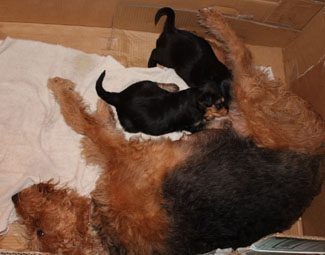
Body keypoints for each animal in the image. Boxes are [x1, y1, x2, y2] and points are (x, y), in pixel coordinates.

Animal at [95, 70, 225, 135]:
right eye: (218, 104)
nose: (227, 110)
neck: (195, 99)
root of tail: (120, 96)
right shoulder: (193, 127)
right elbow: (210, 125)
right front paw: (223, 122)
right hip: (130, 125)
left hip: (143, 85)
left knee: (154, 83)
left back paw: (173, 87)